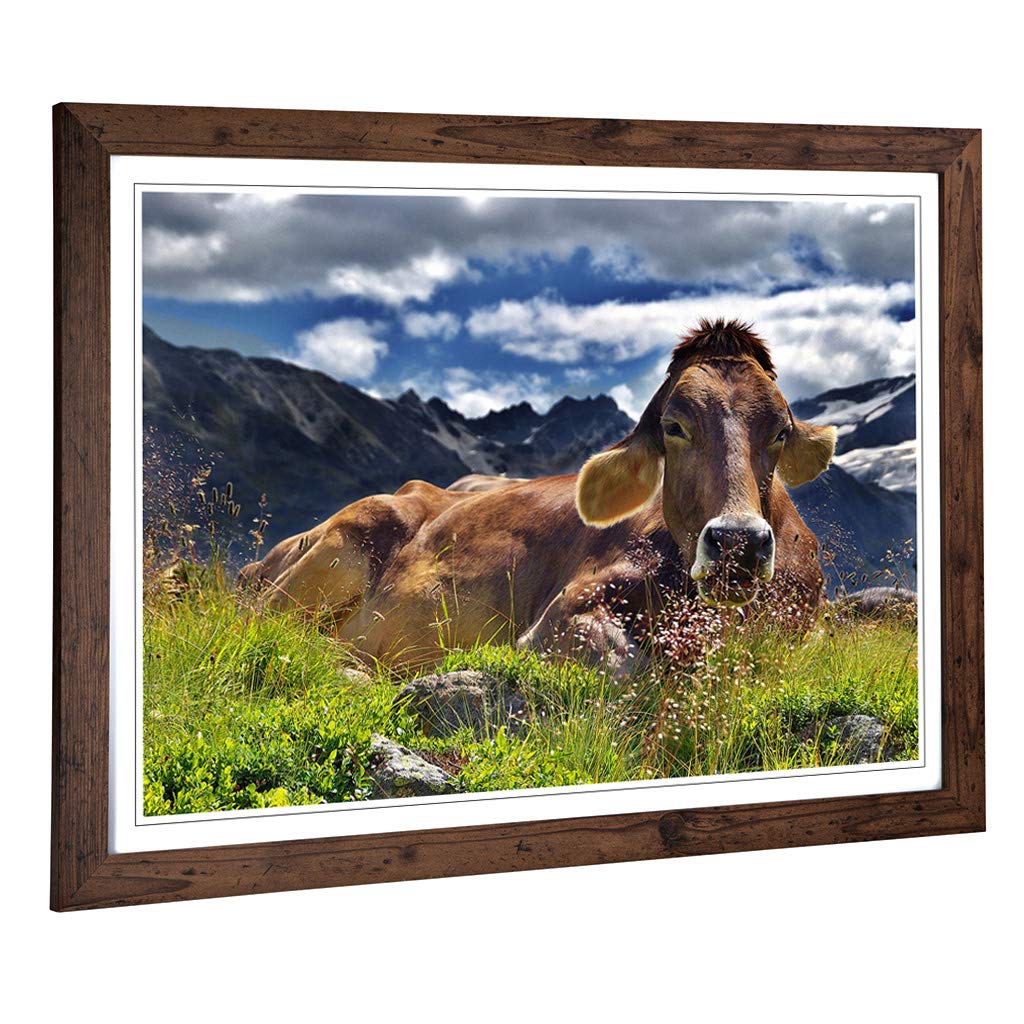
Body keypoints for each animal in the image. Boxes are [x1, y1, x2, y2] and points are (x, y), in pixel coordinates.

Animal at [240, 319, 837, 675]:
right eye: (674, 426)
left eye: (780, 431)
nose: (737, 543)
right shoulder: (562, 614)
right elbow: (626, 666)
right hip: (344, 542)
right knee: (275, 628)